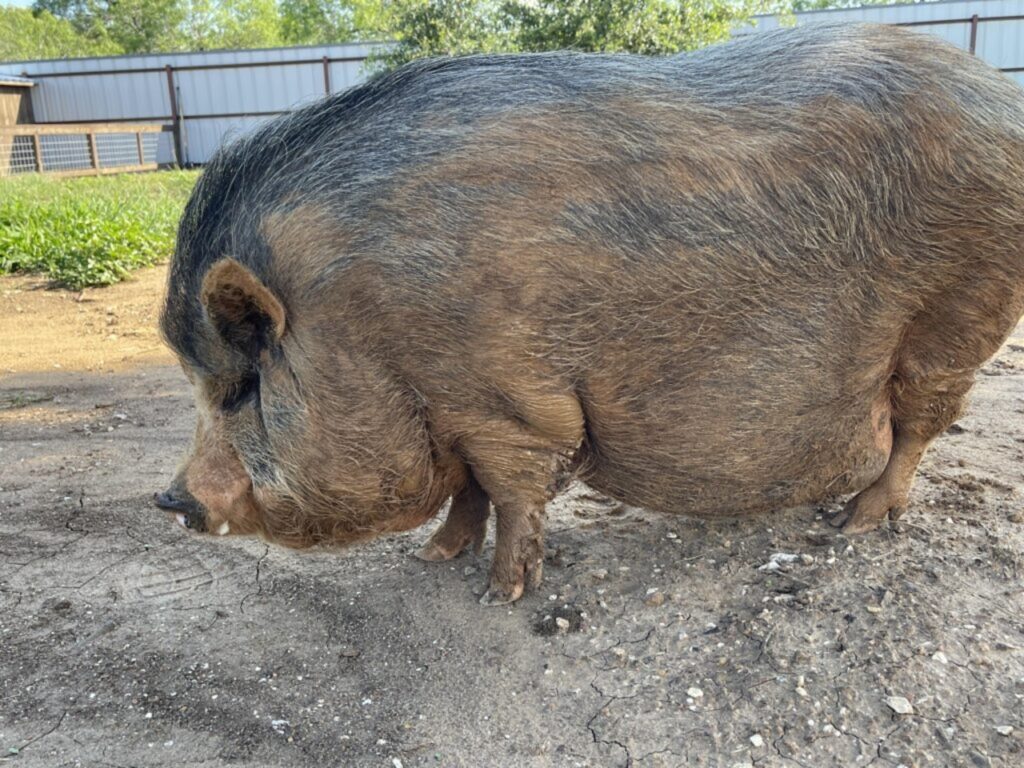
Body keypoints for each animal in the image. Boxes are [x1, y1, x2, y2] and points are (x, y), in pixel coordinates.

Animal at [157, 23, 1024, 605]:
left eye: (240, 389)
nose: (170, 500)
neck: (364, 330)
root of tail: (1001, 95)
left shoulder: (504, 406)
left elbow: (511, 490)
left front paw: (498, 595)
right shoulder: (457, 412)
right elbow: (469, 492)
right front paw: (432, 561)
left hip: (958, 318)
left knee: (918, 425)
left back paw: (854, 523)